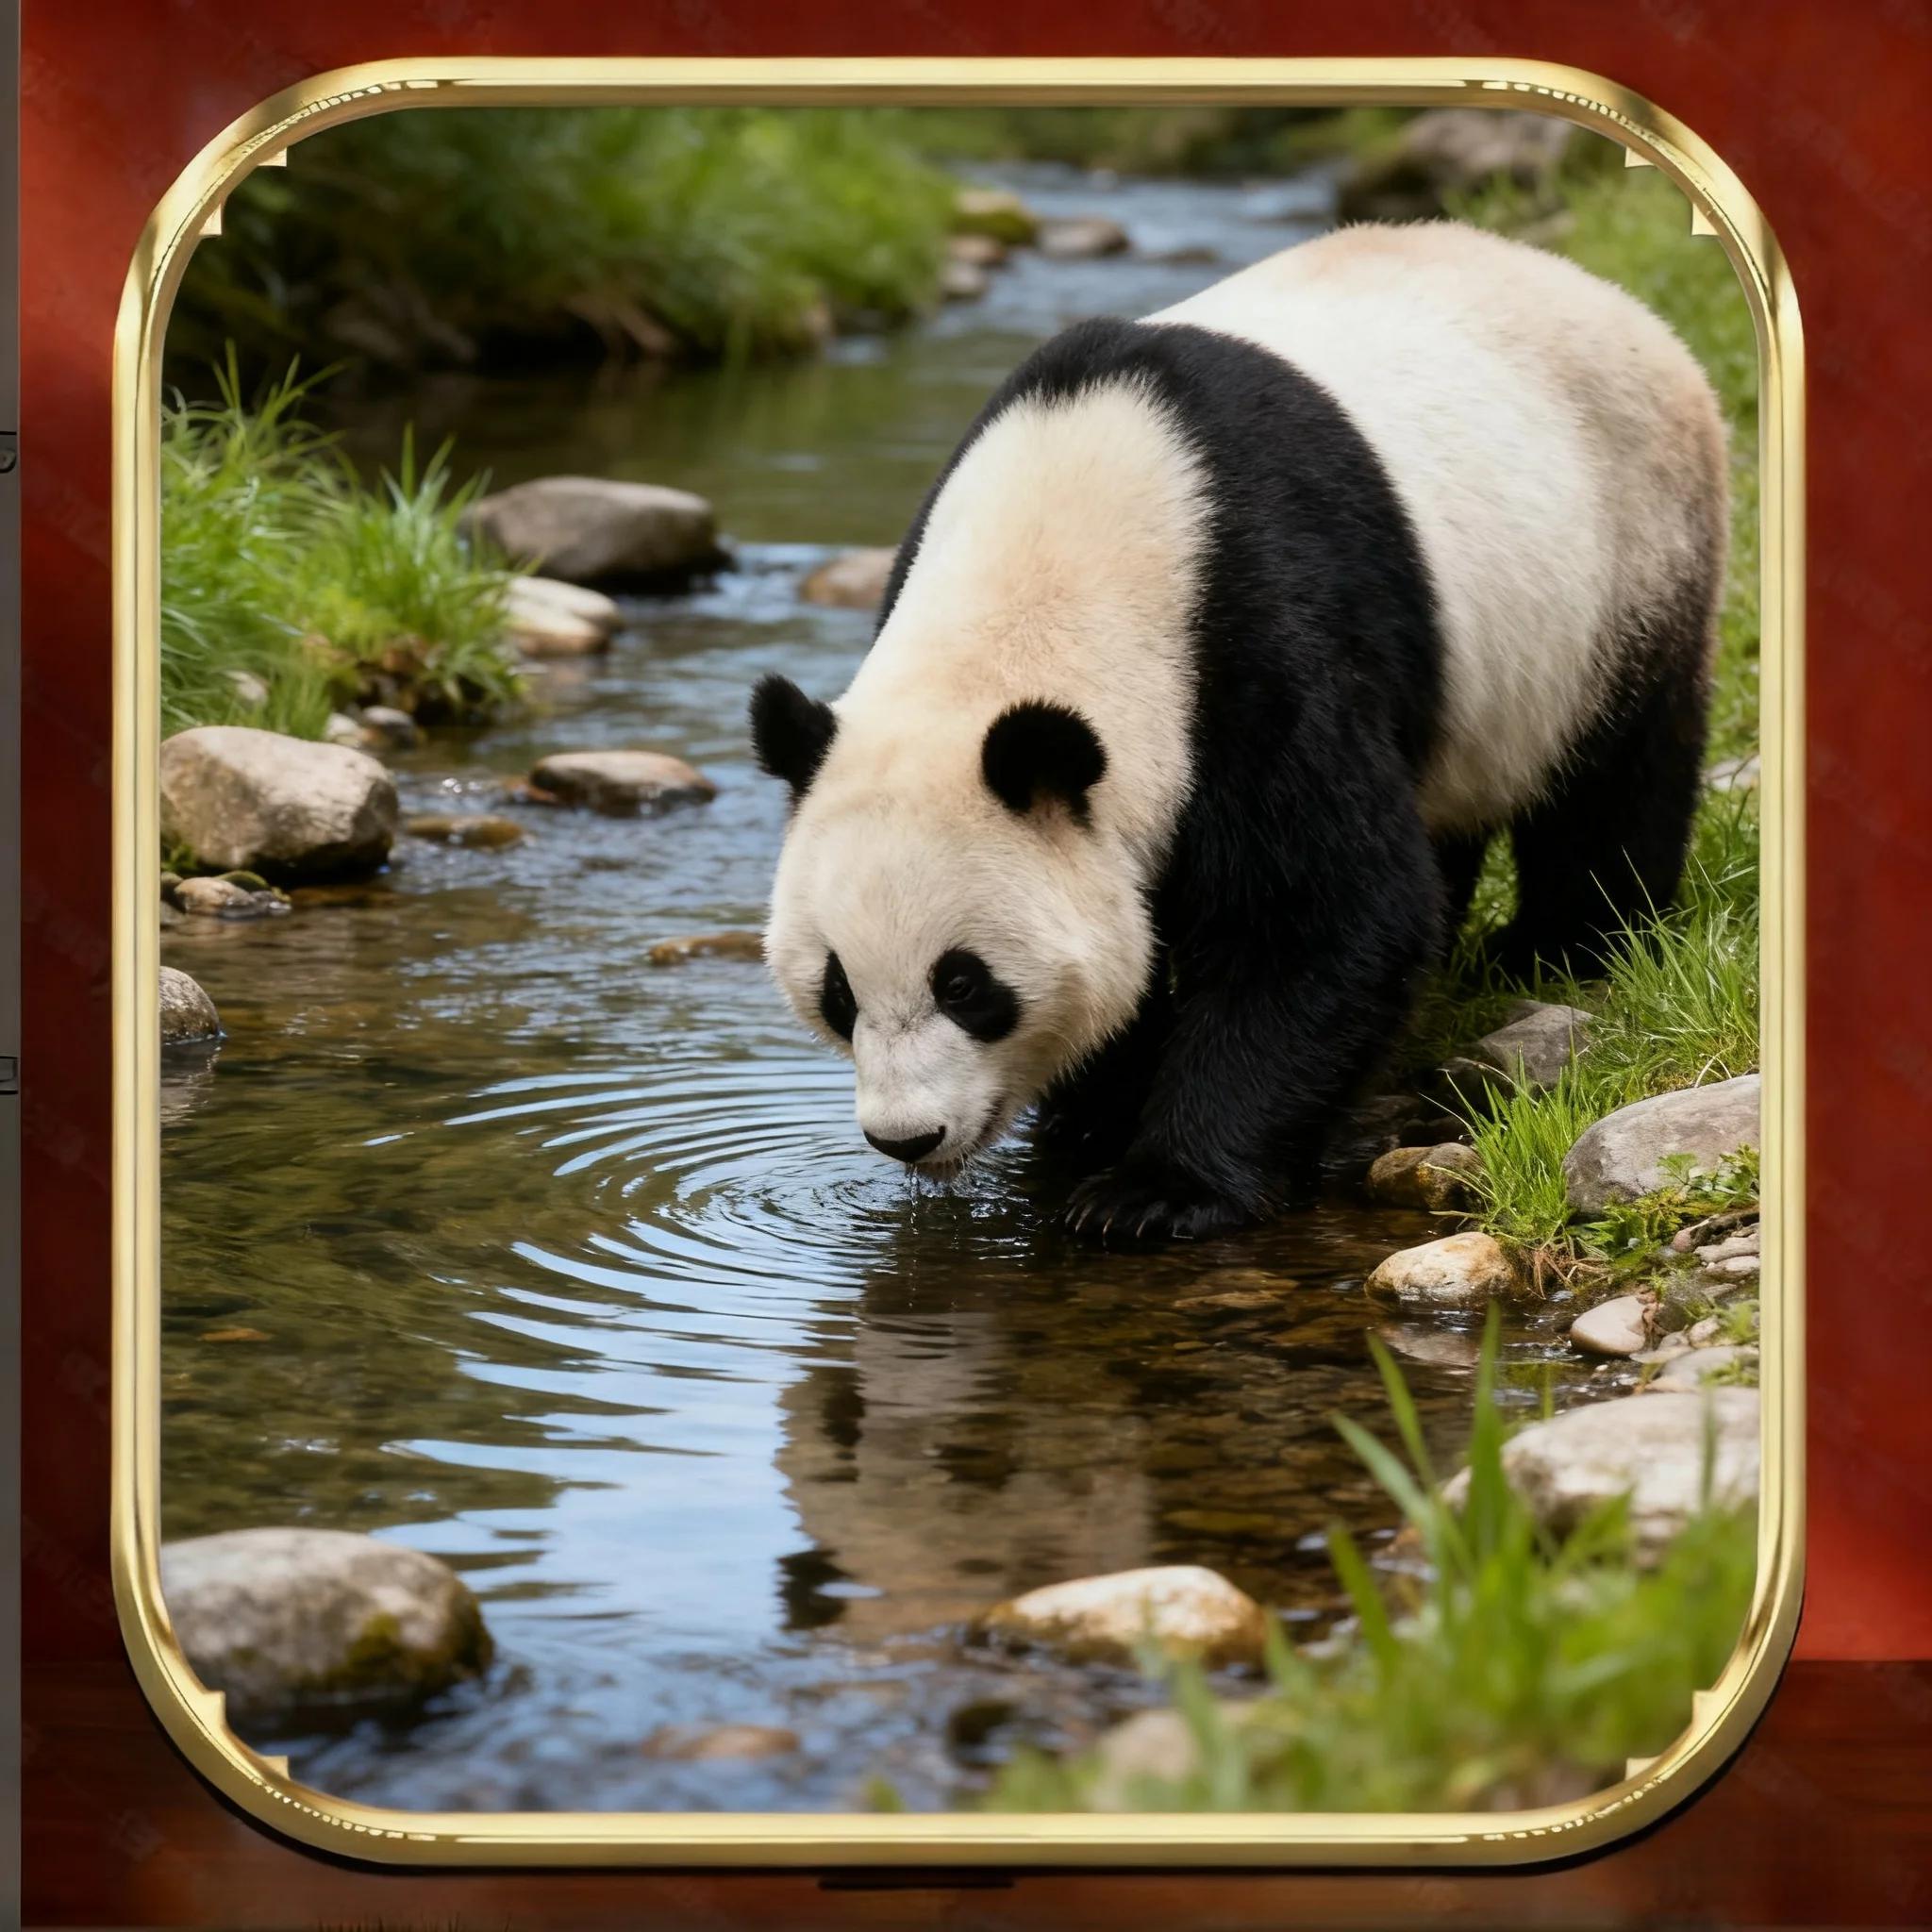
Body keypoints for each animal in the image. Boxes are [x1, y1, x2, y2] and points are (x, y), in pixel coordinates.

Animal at [750, 221, 1727, 1244]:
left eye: (965, 986)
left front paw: (1155, 1190)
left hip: (1627, 557)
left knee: (1613, 776)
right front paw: (1093, 1121)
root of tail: (1593, 287)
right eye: (837, 992)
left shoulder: (1253, 640)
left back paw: (1565, 945)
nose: (905, 1137)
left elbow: (1321, 915)